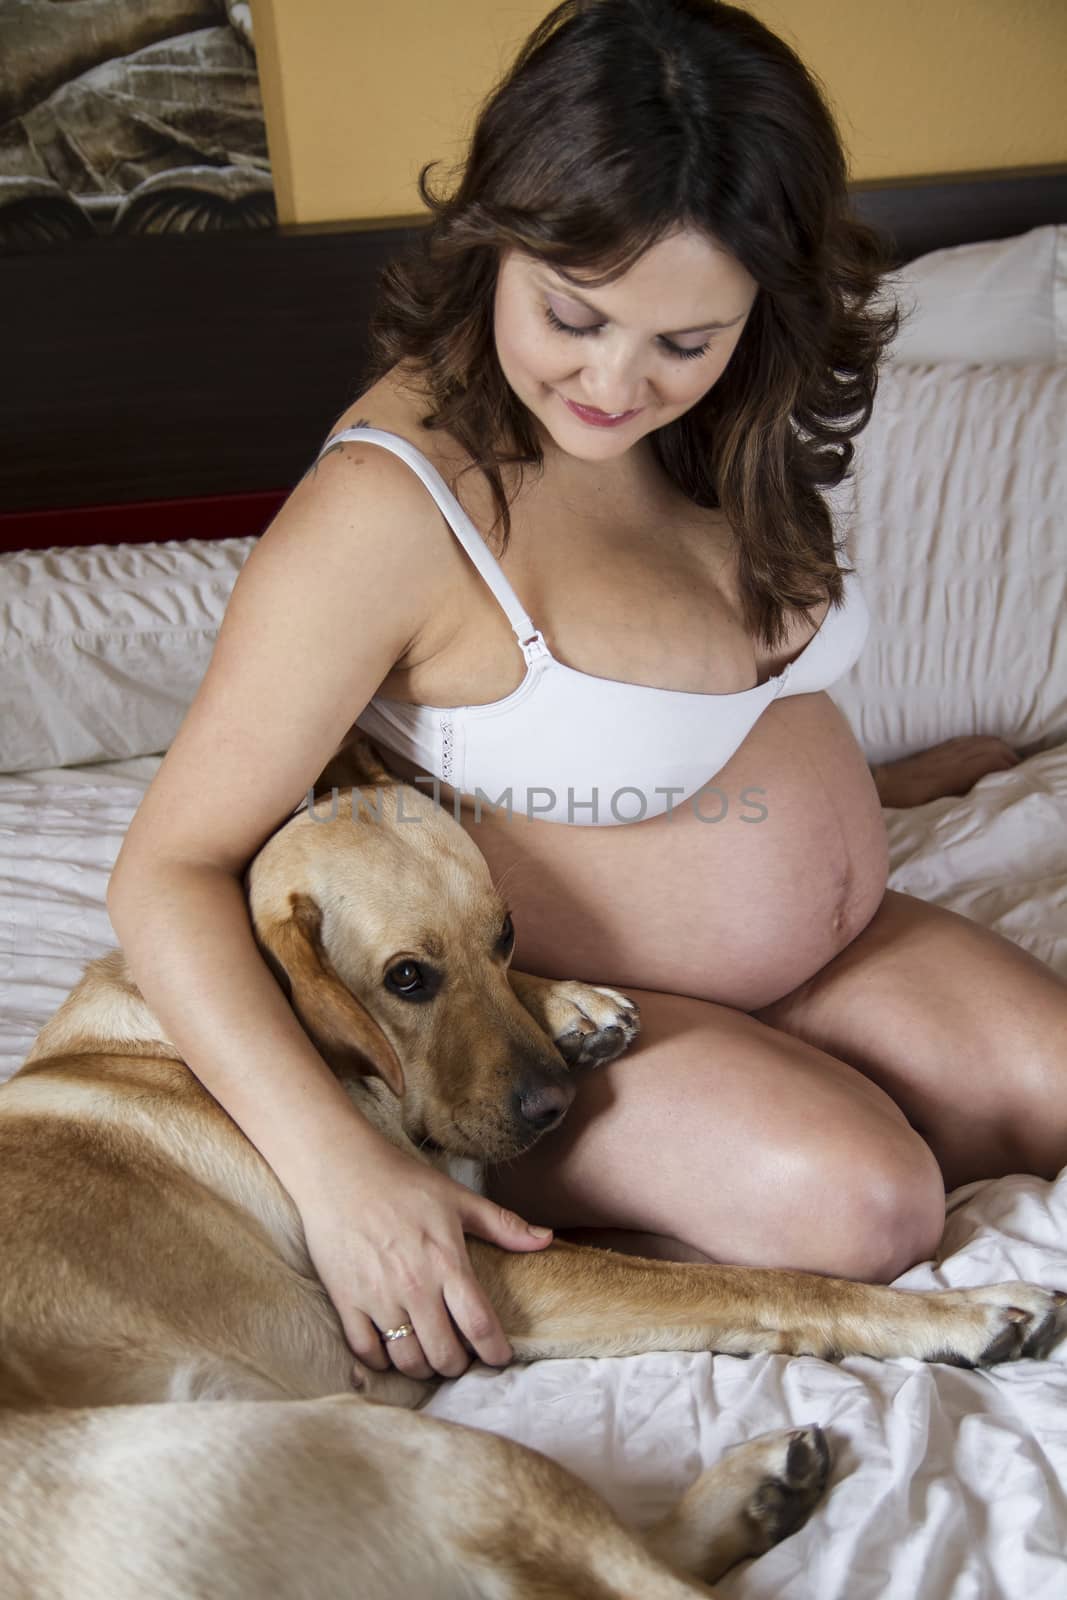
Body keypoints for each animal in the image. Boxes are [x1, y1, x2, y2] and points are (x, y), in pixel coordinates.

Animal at [2, 739, 1067, 1600]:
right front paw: (956, 1312)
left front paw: (569, 1004)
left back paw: (757, 1494)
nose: (555, 1108)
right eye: (406, 978)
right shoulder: (478, 1270)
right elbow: (761, 1282)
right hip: (429, 1450)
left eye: (504, 935)